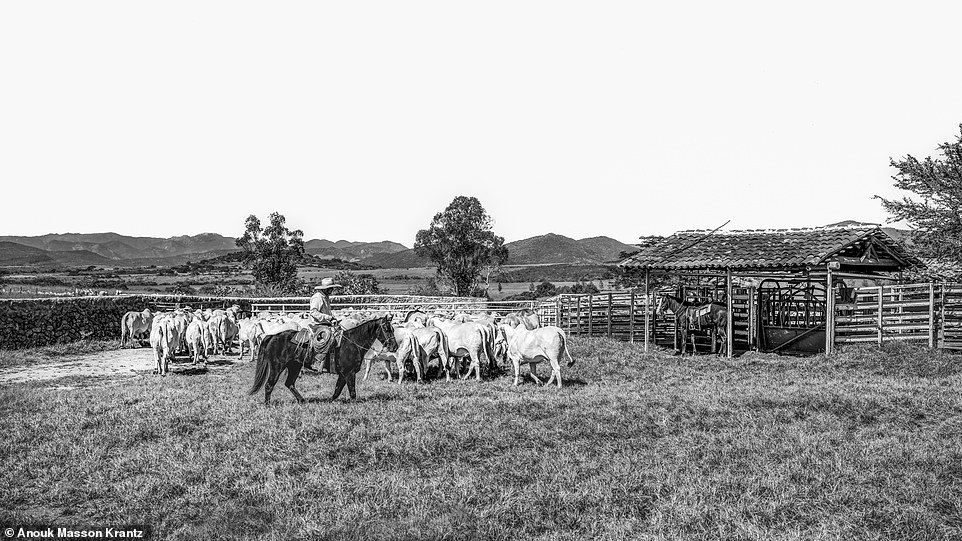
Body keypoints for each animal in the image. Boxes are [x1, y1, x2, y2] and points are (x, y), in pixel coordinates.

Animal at [251, 316, 398, 404]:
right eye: (386, 328)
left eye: (393, 328)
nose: (394, 346)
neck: (353, 342)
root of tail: (273, 336)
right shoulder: (349, 373)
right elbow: (352, 392)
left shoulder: (344, 374)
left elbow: (337, 390)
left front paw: (330, 401)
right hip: (277, 367)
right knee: (269, 385)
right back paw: (268, 405)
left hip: (295, 366)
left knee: (290, 383)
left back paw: (302, 400)